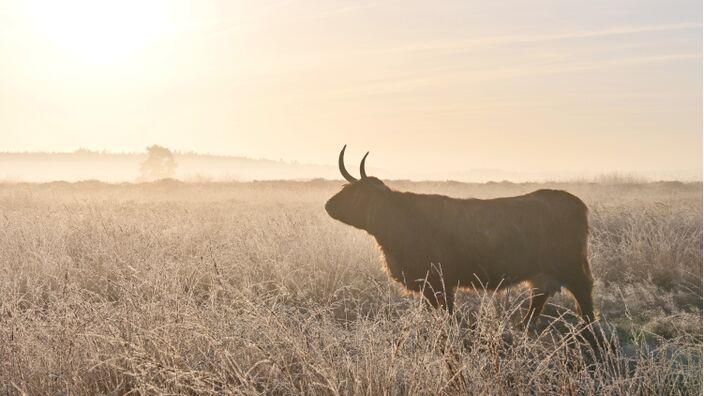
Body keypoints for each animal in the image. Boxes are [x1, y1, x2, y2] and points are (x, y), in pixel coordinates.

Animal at [324, 145, 592, 324]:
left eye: (355, 194)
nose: (328, 205)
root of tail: (574, 202)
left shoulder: (439, 283)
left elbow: (447, 317)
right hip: (542, 274)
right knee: (538, 301)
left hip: (572, 268)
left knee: (585, 299)